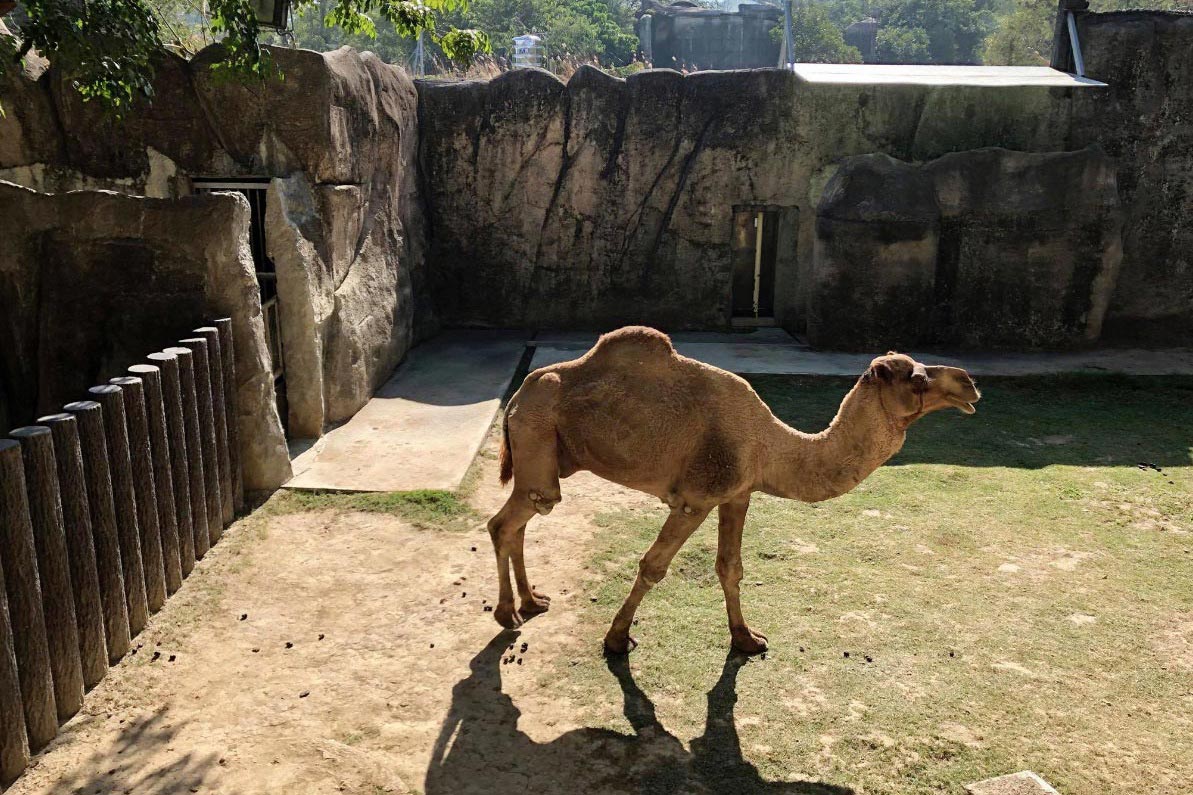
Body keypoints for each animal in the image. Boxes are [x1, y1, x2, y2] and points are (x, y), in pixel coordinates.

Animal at [484, 324, 978, 654]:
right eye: (916, 378)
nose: (970, 383)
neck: (768, 443)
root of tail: (519, 393)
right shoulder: (695, 499)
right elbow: (652, 567)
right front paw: (617, 639)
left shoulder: (738, 494)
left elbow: (730, 568)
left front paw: (746, 638)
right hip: (537, 438)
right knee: (508, 520)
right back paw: (508, 612)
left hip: (550, 457)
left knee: (521, 518)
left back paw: (532, 601)